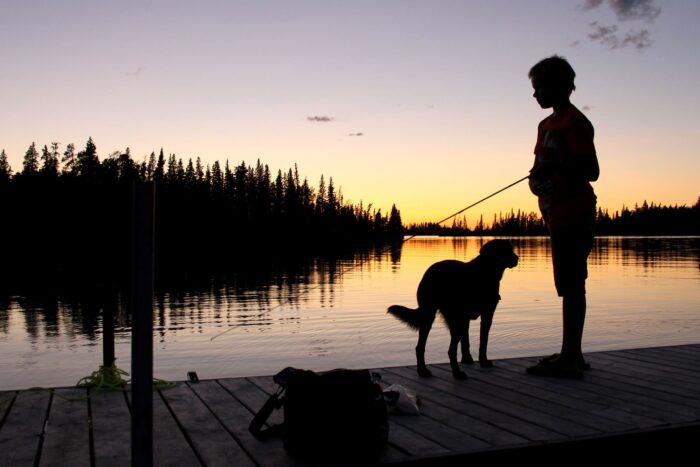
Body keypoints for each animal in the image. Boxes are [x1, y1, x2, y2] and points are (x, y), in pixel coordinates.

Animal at [388, 241, 520, 380]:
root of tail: (429, 274)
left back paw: (423, 371)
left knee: (421, 347)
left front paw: (469, 359)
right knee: (448, 350)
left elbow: (469, 342)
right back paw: (456, 373)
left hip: (437, 317)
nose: (517, 258)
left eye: (511, 249)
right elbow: (483, 342)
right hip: (443, 318)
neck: (485, 270)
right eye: (506, 250)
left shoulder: (472, 317)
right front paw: (482, 361)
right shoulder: (484, 315)